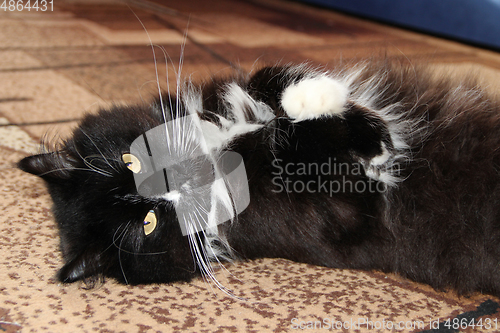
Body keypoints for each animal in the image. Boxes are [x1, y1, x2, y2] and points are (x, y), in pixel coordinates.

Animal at [17, 60, 500, 296]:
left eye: (130, 162)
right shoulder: (348, 211)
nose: (172, 178)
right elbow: (315, 153)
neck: (219, 153)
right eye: (148, 224)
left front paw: (318, 93)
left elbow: (267, 76)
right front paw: (376, 139)